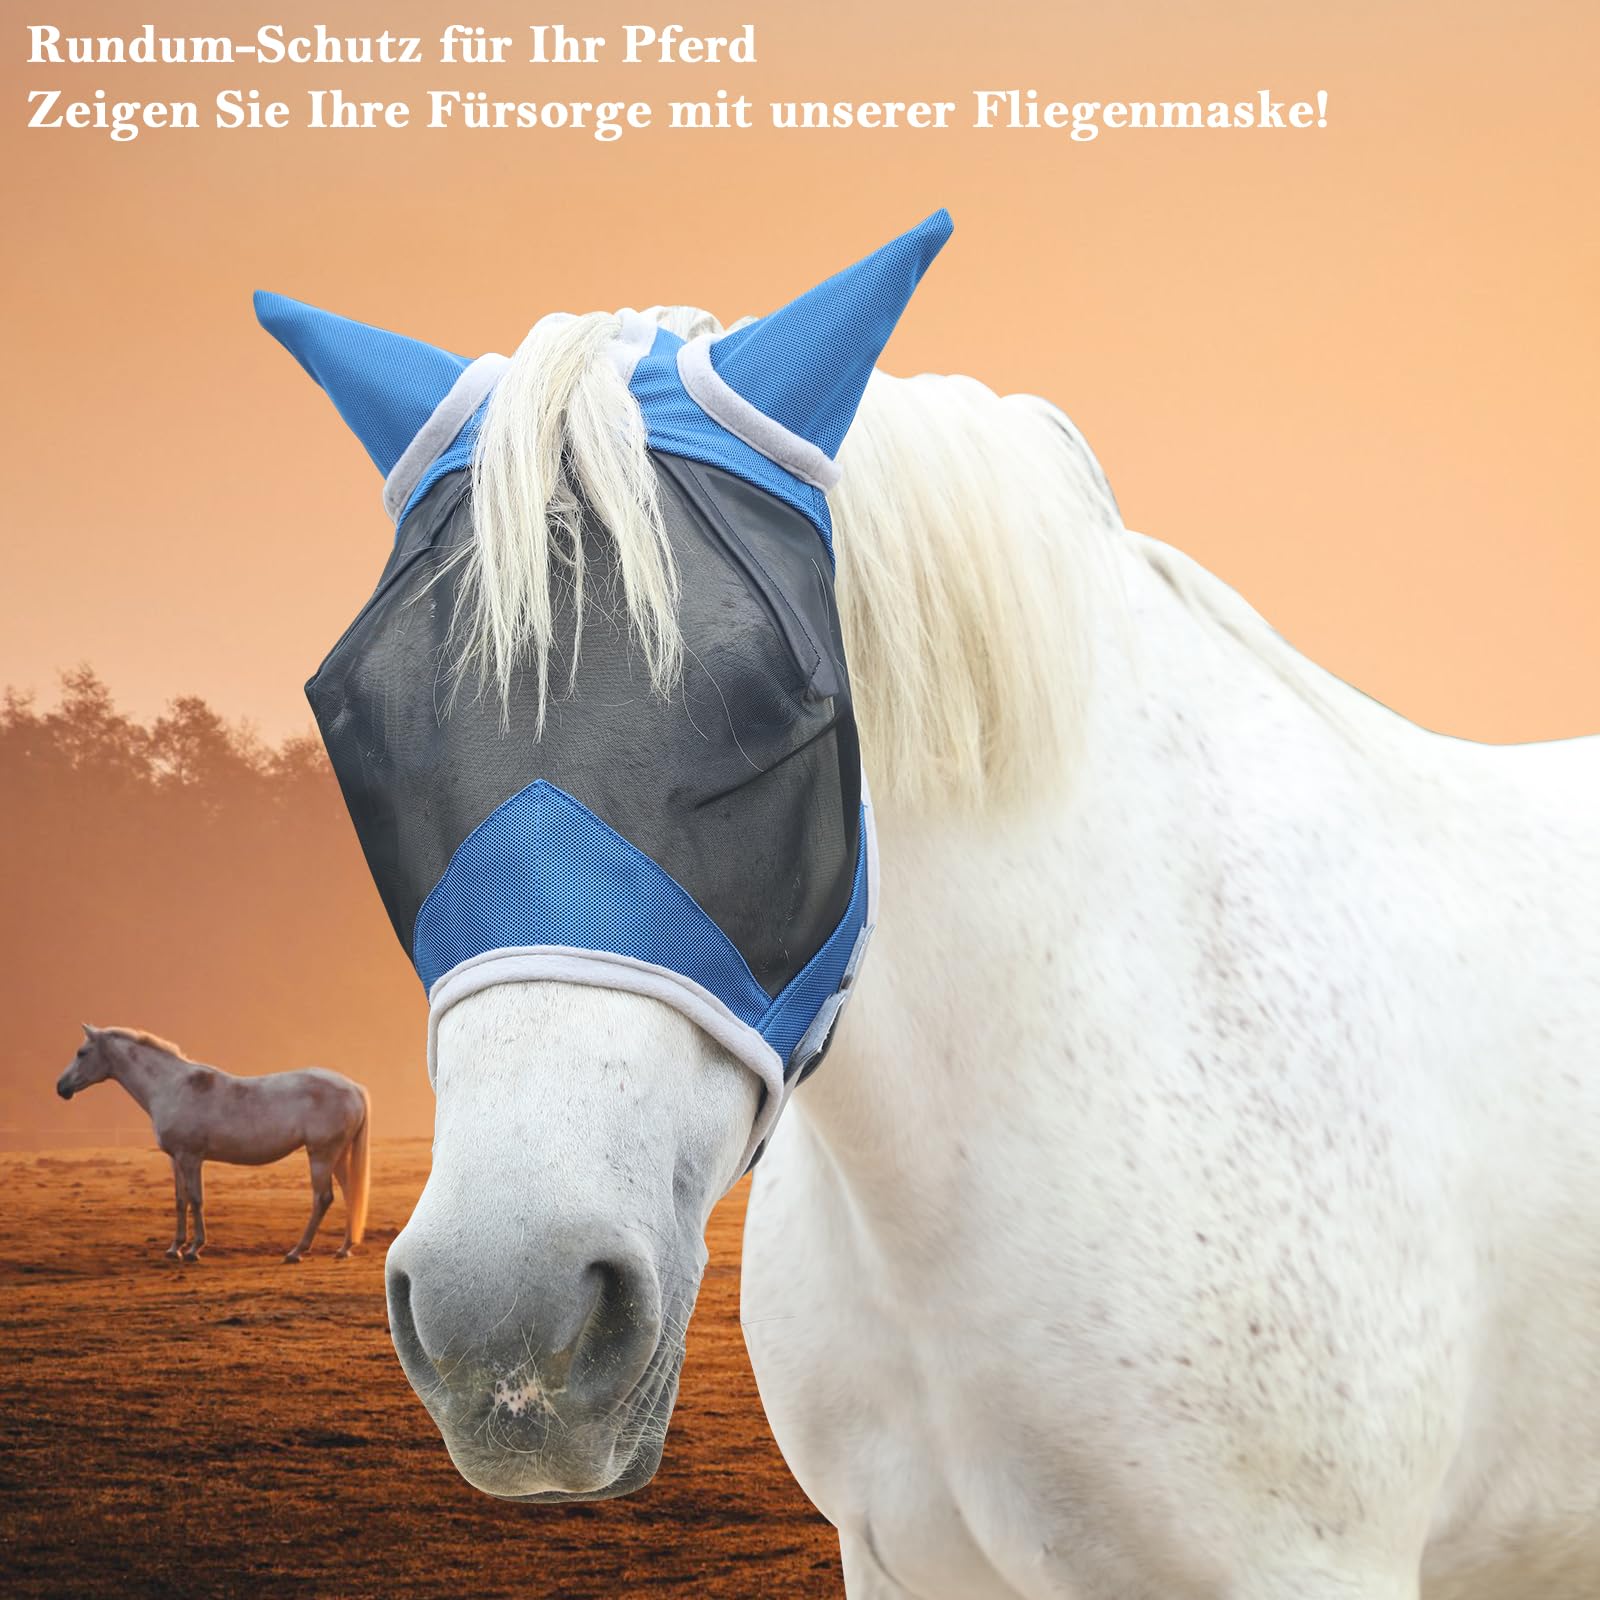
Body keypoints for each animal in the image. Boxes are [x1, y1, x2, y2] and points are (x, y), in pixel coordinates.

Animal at [56, 1026, 371, 1263]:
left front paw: (194, 1249)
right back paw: (344, 1248)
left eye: (82, 1053)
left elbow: (196, 1199)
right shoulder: (176, 1159)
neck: (172, 1086)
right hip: (337, 1156)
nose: (61, 1087)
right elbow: (180, 1200)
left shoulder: (191, 1157)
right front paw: (174, 1248)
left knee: (323, 1198)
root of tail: (354, 1088)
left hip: (321, 1155)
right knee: (350, 1192)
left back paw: (296, 1252)